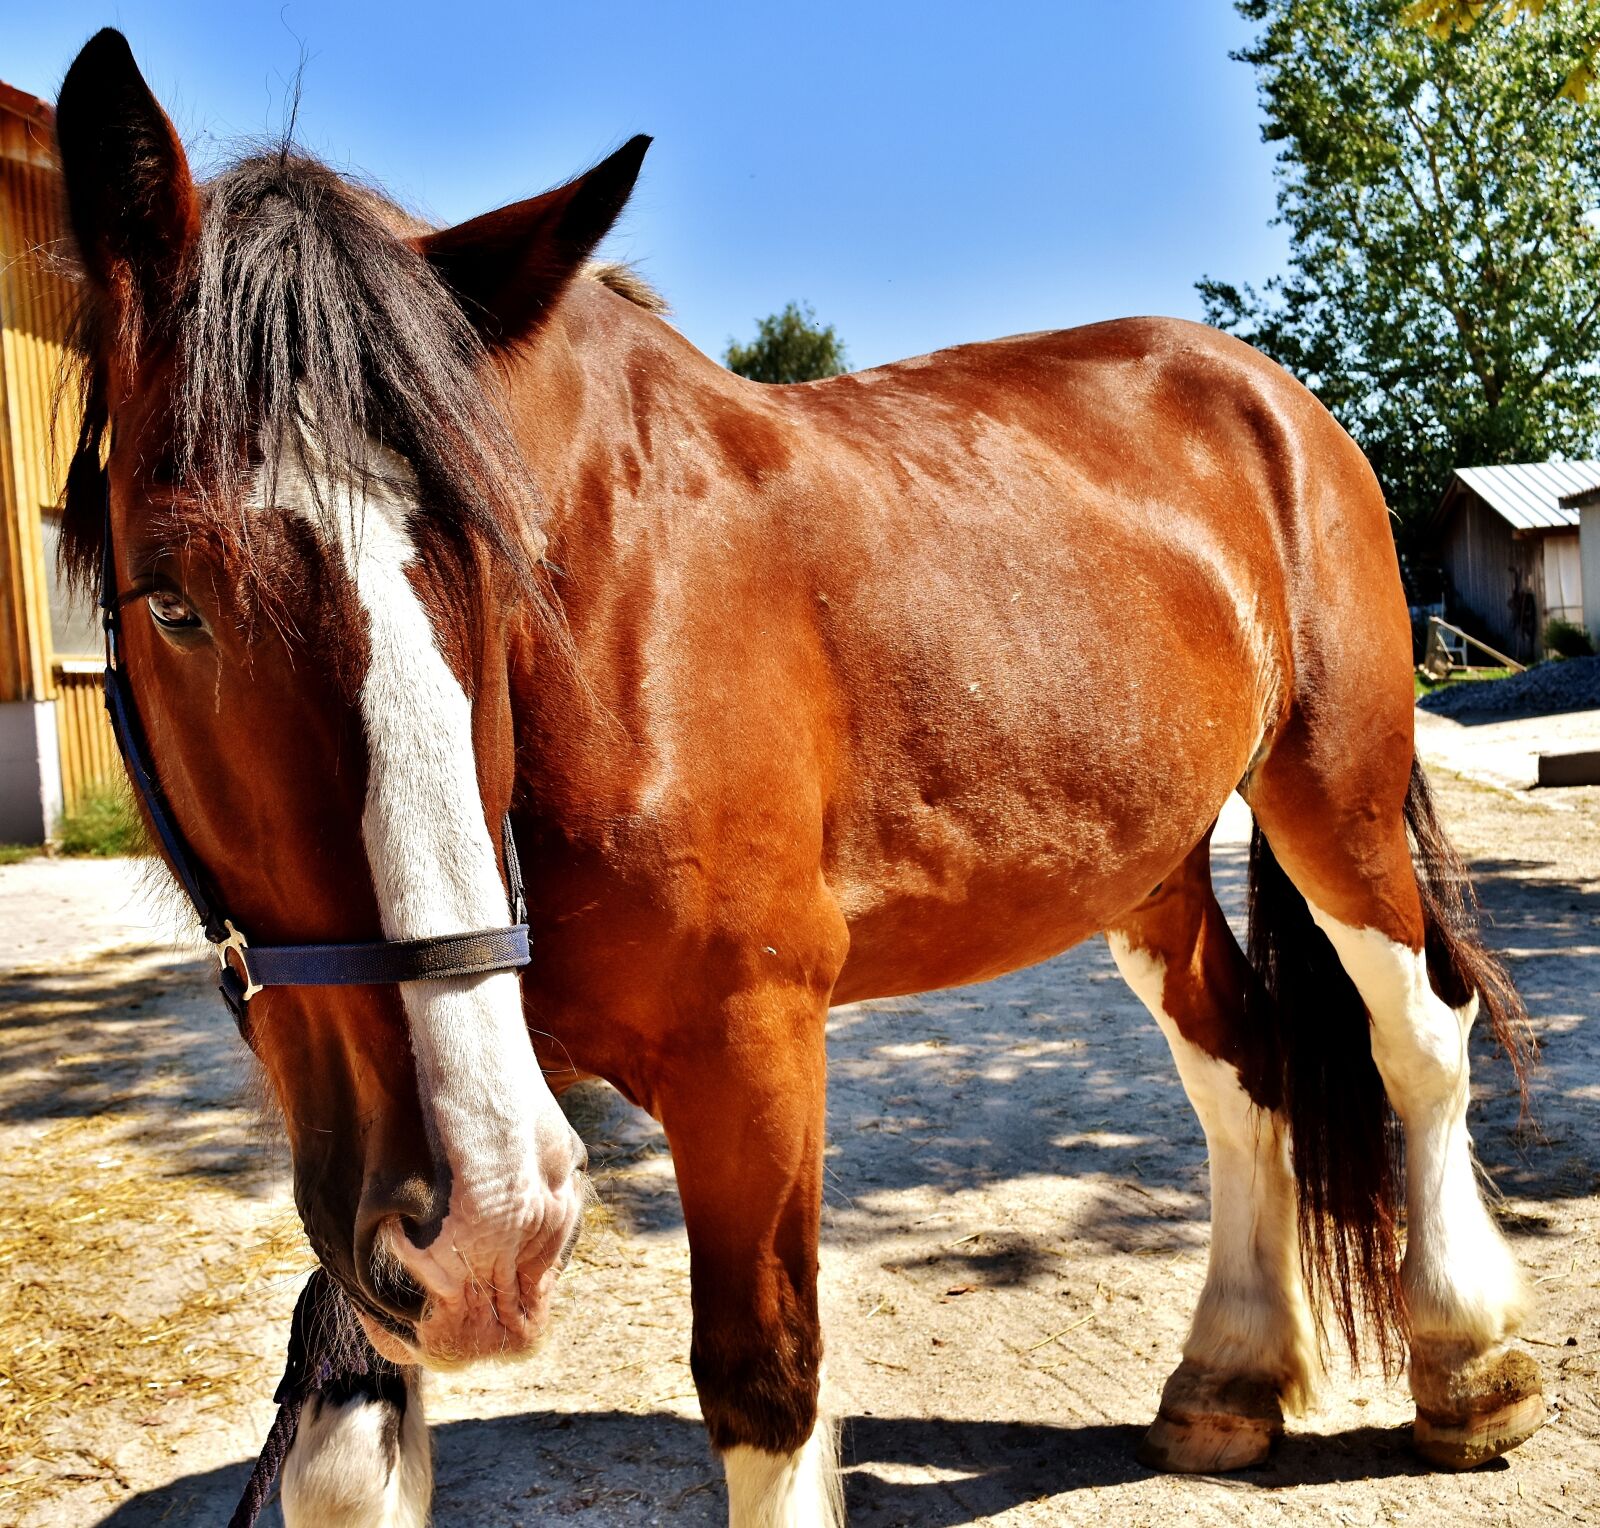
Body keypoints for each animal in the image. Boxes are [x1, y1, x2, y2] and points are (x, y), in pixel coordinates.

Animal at [54, 28, 1543, 1527]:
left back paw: (1468, 1365)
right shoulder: (379, 1162)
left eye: (502, 569)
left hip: (1332, 800)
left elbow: (767, 1383)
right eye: (172, 600)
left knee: (1418, 1037)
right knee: (1241, 1062)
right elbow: (348, 1447)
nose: (490, 1223)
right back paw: (1229, 1376)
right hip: (1146, 867)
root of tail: (1269, 395)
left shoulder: (747, 1051)